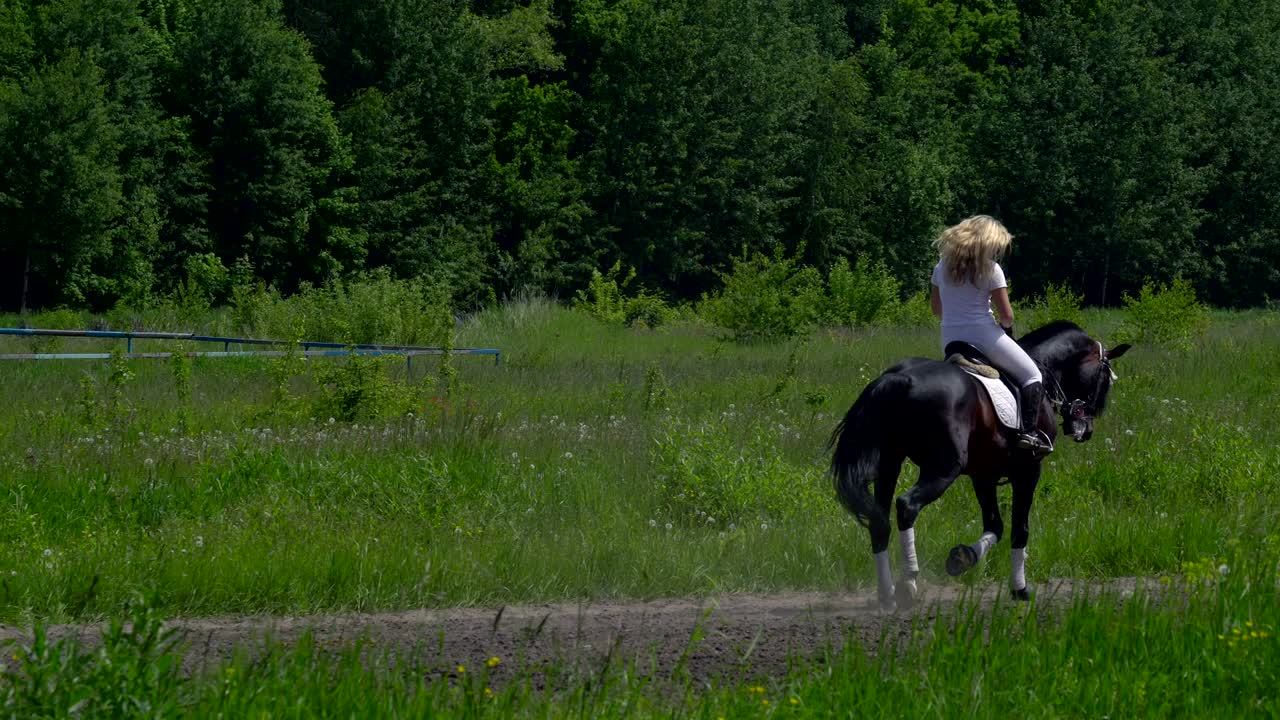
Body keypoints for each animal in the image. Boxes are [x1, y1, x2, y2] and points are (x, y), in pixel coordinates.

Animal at [828, 320, 1131, 610]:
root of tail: (898, 378)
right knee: (907, 506)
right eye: (1105, 379)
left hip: (890, 464)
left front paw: (962, 558)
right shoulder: (1028, 471)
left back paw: (886, 595)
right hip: (943, 468)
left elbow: (995, 526)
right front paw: (1020, 589)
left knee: (879, 520)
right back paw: (908, 584)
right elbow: (1019, 530)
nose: (1084, 431)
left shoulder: (983, 475)